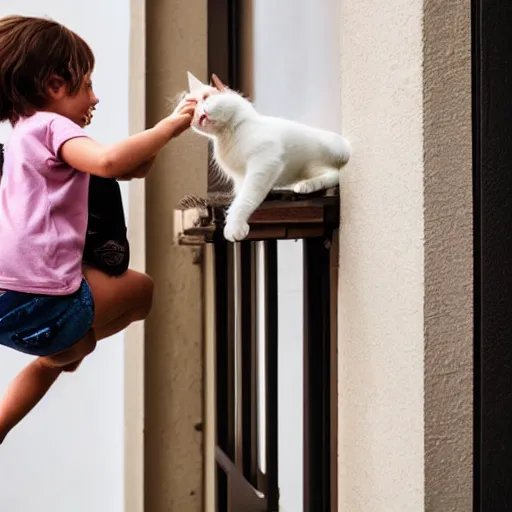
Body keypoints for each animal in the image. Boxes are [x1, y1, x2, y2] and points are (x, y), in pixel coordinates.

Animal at [186, 72, 350, 242]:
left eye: (207, 99)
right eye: (193, 114)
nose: (200, 116)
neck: (227, 135)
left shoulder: (265, 162)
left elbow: (245, 196)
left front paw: (234, 225)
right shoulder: (239, 177)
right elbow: (240, 192)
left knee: (336, 174)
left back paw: (306, 185)